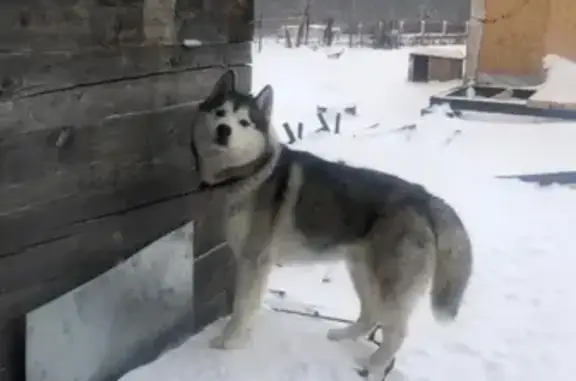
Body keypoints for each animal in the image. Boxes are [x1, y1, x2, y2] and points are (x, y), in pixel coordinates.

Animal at [191, 70, 474, 378]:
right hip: (361, 271)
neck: (250, 173)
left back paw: (375, 366)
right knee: (370, 314)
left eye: (244, 122)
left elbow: (242, 307)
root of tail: (425, 197)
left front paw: (228, 342)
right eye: (220, 112)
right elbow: (250, 307)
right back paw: (343, 335)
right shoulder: (253, 263)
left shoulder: (253, 261)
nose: (224, 130)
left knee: (396, 332)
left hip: (390, 284)